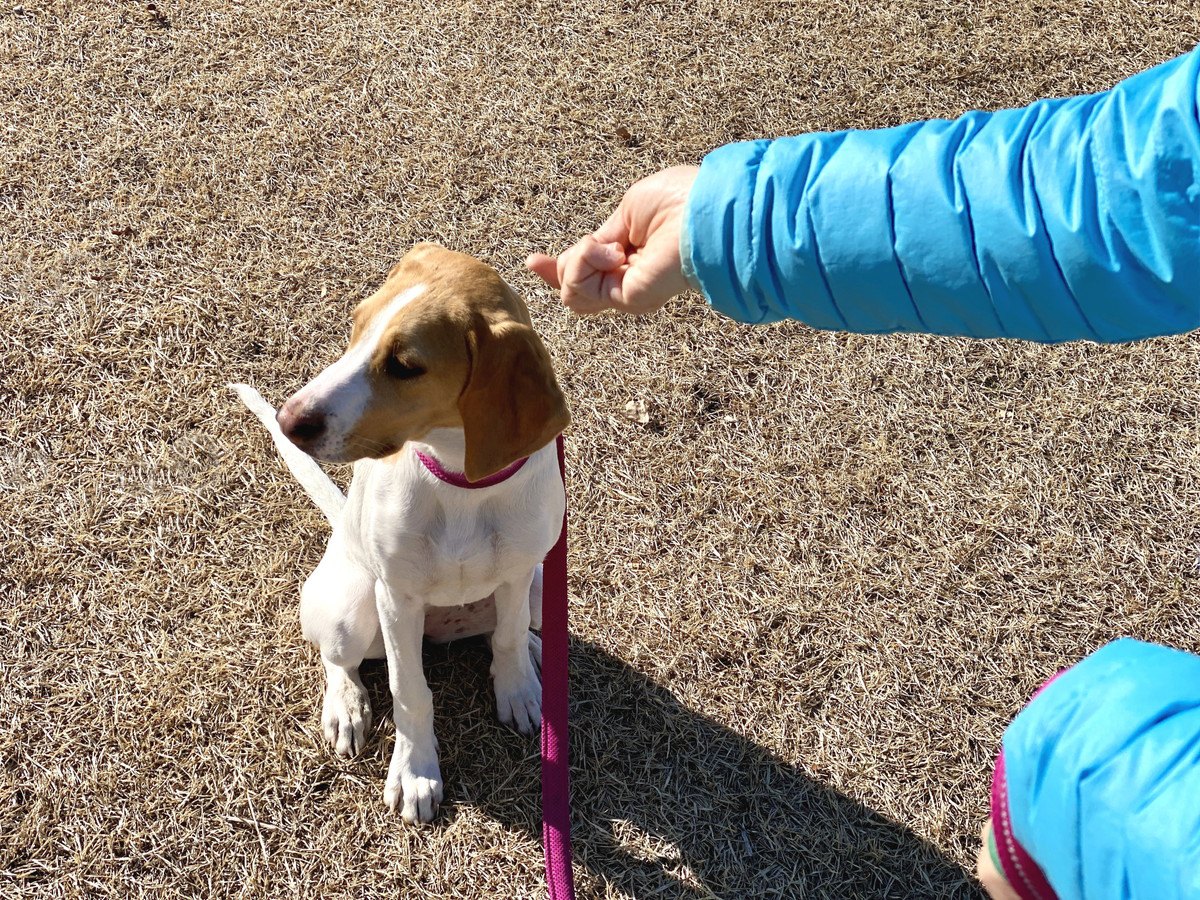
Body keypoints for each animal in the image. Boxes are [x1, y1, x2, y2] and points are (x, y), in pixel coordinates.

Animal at [236, 244, 573, 825]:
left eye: (405, 366)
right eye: (355, 325)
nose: (287, 419)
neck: (458, 479)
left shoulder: (516, 575)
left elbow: (505, 638)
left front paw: (518, 690)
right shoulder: (398, 597)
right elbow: (409, 690)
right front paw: (416, 774)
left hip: (538, 587)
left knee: (506, 630)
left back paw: (532, 654)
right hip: (352, 607)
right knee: (337, 660)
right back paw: (346, 708)